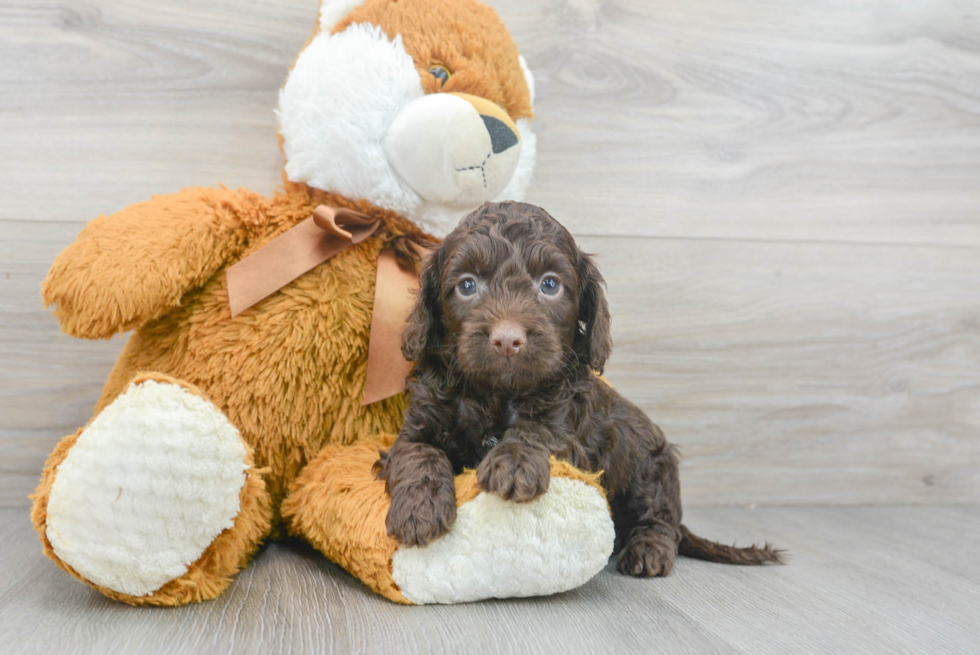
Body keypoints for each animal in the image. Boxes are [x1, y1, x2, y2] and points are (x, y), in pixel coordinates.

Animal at [376, 202, 780, 576]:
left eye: (550, 284)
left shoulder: (571, 432)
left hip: (649, 465)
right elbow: (418, 453)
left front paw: (514, 461)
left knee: (661, 519)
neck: (496, 394)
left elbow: (538, 430)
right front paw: (418, 509)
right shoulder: (417, 425)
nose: (507, 340)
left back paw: (649, 550)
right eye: (467, 285)